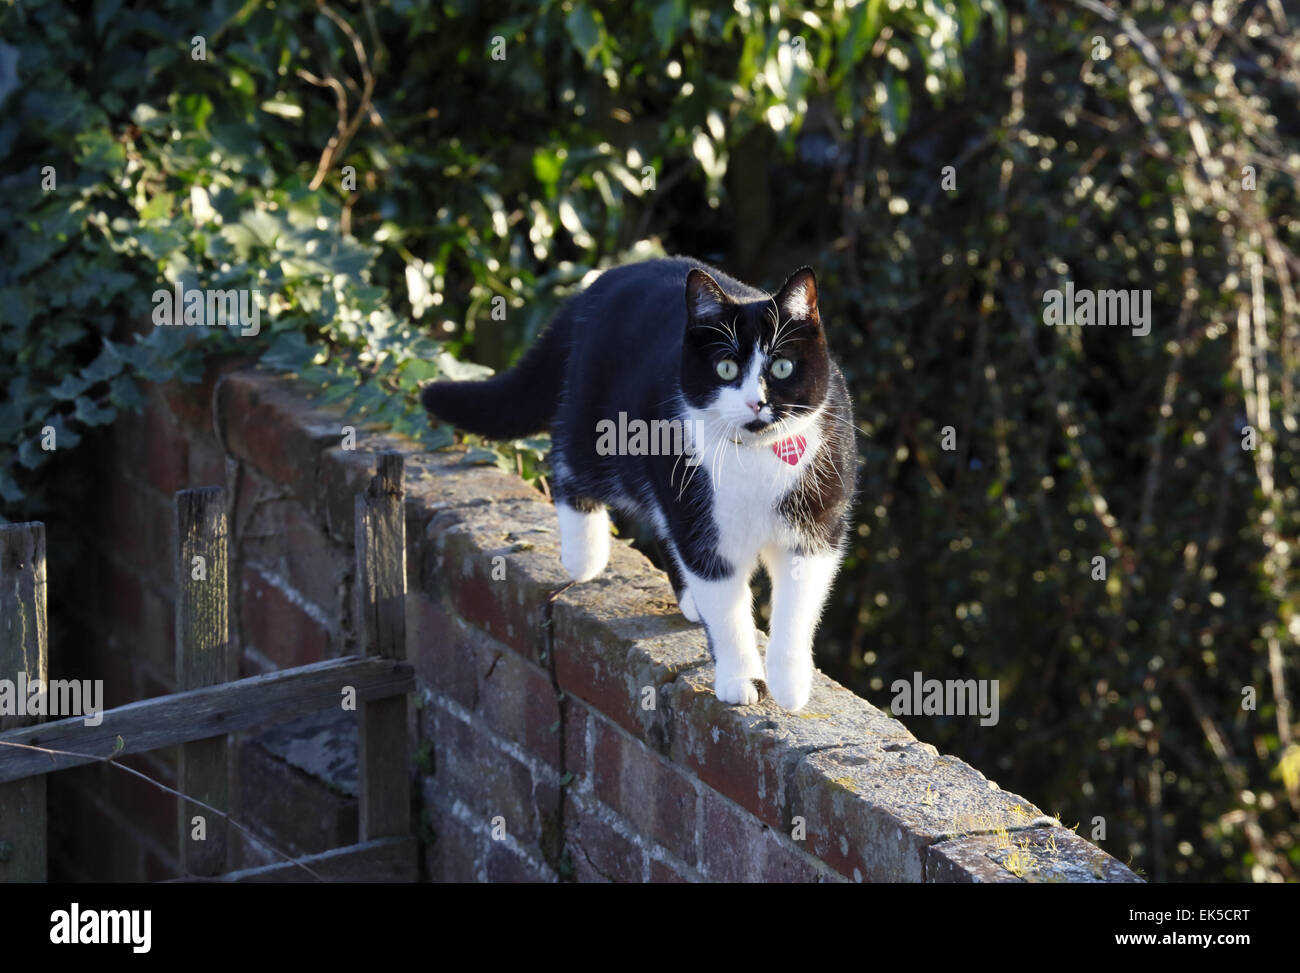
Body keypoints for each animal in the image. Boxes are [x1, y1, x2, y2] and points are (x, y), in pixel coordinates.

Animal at [421, 256, 857, 712]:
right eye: (725, 368)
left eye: (782, 367)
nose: (756, 403)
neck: (756, 458)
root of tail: (602, 282)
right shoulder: (700, 521)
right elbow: (725, 604)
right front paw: (741, 679)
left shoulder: (817, 523)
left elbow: (797, 603)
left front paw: (790, 683)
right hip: (602, 425)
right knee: (567, 460)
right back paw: (585, 554)